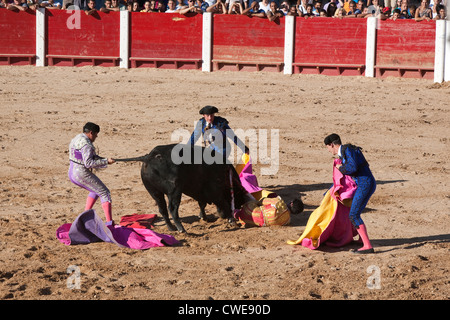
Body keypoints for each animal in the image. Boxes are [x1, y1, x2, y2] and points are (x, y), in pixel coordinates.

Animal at [112, 143, 246, 232]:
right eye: (239, 195)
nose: (239, 206)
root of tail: (148, 157)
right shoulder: (214, 190)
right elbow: (223, 203)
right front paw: (231, 220)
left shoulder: (199, 191)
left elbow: (202, 204)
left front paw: (204, 217)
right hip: (174, 191)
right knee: (172, 208)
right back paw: (181, 229)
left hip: (155, 192)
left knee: (163, 209)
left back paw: (172, 228)